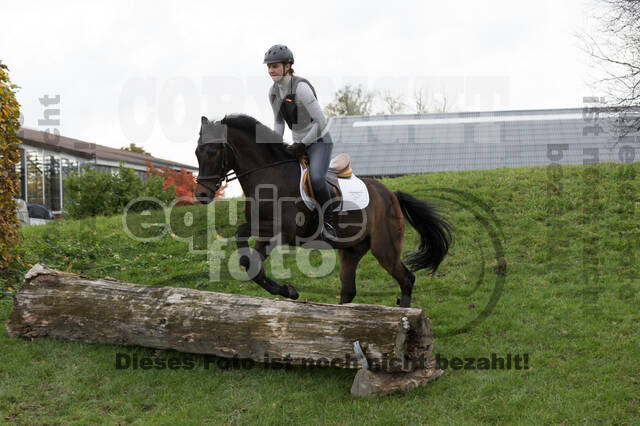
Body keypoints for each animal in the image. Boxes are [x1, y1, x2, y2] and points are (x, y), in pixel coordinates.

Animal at [195, 113, 450, 306]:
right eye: (197, 152)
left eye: (213, 151)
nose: (201, 195)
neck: (269, 176)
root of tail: (392, 195)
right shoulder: (262, 229)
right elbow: (249, 259)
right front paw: (287, 290)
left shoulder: (283, 233)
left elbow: (253, 263)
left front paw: (290, 291)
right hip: (351, 251)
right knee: (349, 291)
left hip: (385, 248)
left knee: (407, 279)